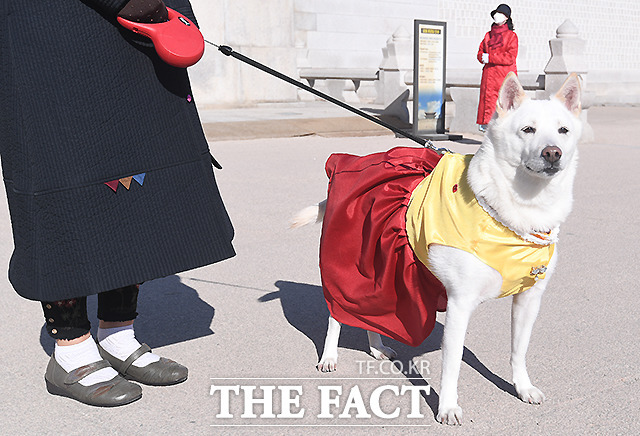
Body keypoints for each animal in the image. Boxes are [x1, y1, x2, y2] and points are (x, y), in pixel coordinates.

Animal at [292, 73, 584, 424]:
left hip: (378, 274)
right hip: (350, 267)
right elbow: (452, 364)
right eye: (528, 129)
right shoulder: (460, 304)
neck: (513, 215)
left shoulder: (529, 298)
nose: (553, 153)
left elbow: (519, 349)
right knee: (337, 314)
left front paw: (522, 387)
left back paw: (376, 347)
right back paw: (330, 355)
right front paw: (447, 407)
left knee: (368, 313)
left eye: (563, 130)